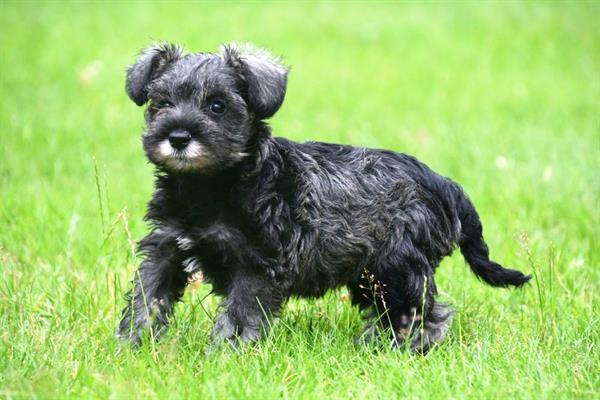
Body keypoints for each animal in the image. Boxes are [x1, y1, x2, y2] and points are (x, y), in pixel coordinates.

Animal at [117, 42, 528, 352]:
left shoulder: (254, 265)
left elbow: (238, 317)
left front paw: (223, 356)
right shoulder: (165, 249)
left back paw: (404, 348)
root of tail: (442, 182)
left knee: (422, 314)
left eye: (217, 105)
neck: (207, 186)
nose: (178, 137)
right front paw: (131, 347)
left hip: (399, 266)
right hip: (371, 274)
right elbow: (147, 300)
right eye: (161, 103)